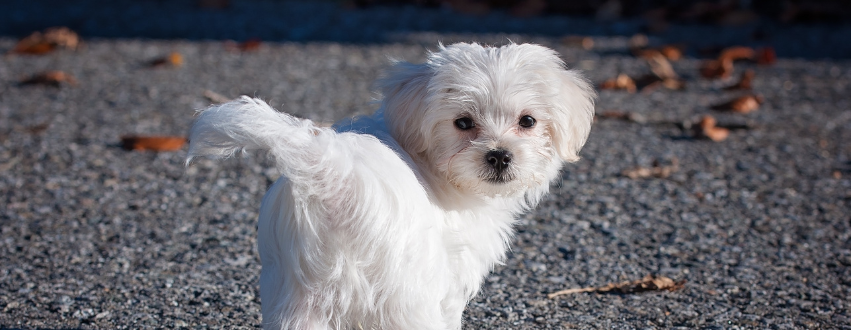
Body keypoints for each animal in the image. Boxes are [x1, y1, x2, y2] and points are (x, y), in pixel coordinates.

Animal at [186, 42, 592, 328]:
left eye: (528, 121)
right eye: (463, 123)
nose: (500, 156)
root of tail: (333, 174)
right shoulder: (449, 277)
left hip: (297, 295)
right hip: (407, 293)